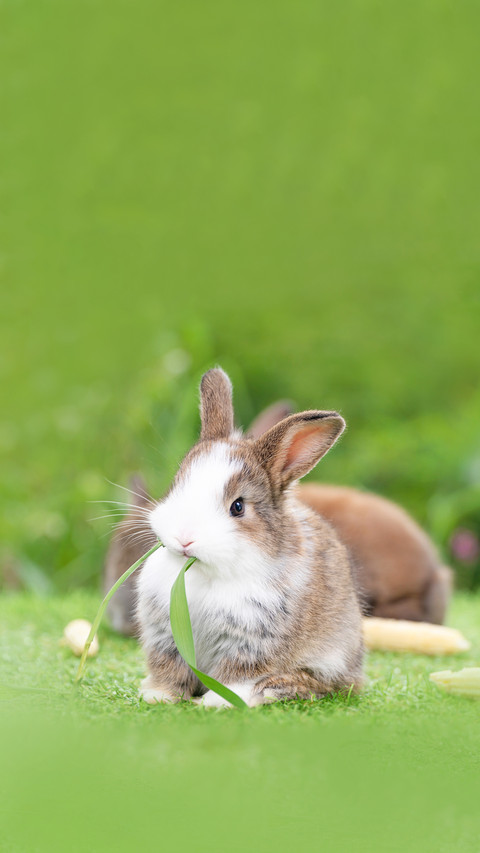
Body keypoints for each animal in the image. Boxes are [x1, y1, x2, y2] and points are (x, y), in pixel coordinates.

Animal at [136, 367, 364, 706]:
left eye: (238, 507)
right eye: (176, 485)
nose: (184, 538)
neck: (205, 573)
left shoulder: (252, 642)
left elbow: (236, 676)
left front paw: (217, 703)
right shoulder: (166, 638)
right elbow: (170, 671)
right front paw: (158, 696)